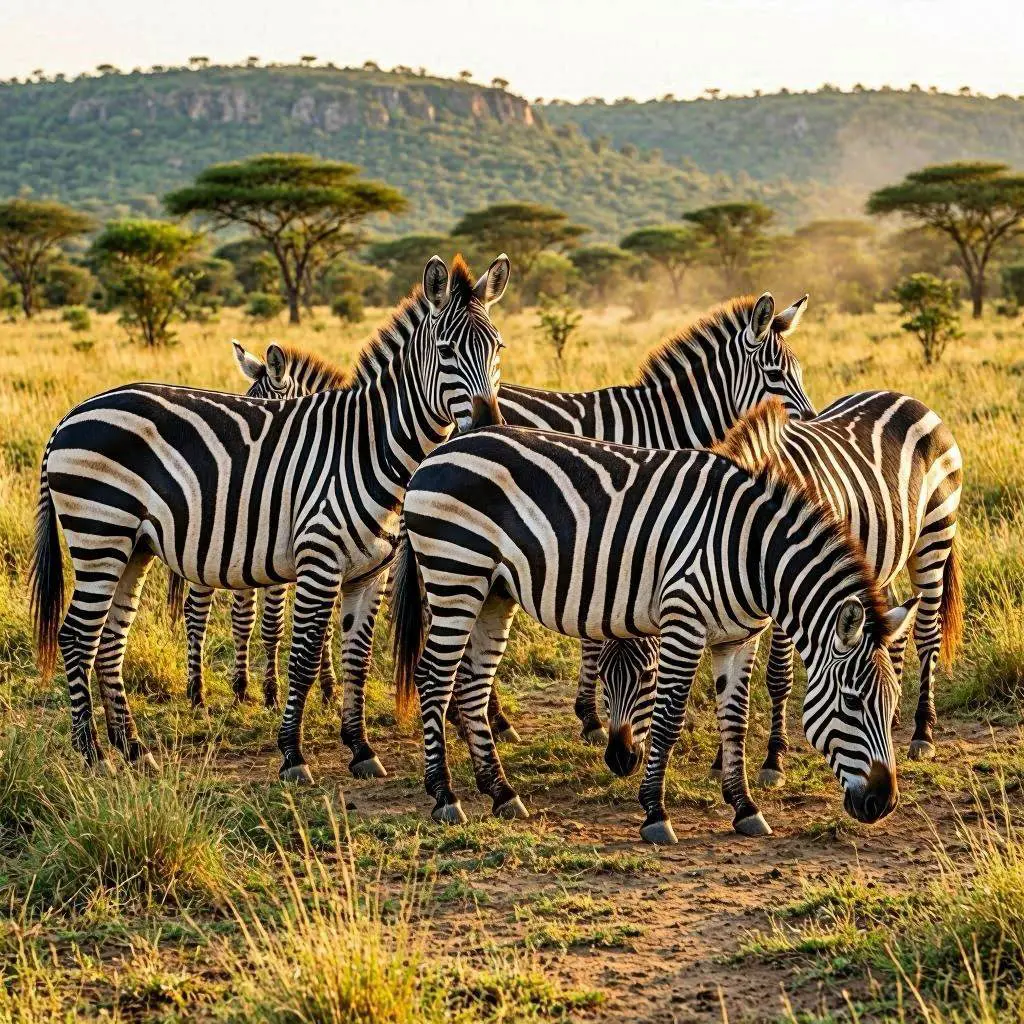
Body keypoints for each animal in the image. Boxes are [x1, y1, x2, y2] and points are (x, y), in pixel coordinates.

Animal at [391, 425, 919, 843]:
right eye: (852, 702)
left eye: (892, 703)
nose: (883, 803)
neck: (752, 554)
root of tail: (437, 453)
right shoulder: (684, 621)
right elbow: (667, 721)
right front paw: (655, 814)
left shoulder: (738, 638)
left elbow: (735, 721)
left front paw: (745, 807)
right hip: (455, 574)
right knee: (435, 680)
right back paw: (445, 797)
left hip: (493, 592)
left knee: (473, 687)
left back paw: (501, 793)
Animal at [482, 291, 815, 745]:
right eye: (775, 374)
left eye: (798, 372)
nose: (813, 424)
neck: (659, 425)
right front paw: (595, 716)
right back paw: (492, 719)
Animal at [599, 392, 963, 792]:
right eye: (602, 675)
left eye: (647, 676)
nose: (619, 760)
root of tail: (905, 397)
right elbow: (728, 686)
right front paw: (722, 761)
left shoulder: (794, 594)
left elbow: (777, 677)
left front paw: (773, 760)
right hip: (881, 560)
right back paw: (893, 713)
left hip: (933, 539)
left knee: (927, 634)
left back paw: (922, 733)